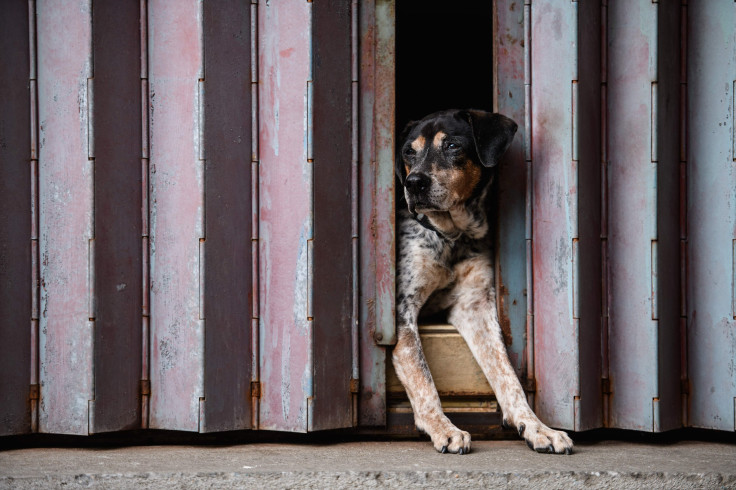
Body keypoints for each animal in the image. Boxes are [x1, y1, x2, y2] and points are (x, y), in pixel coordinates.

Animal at [392, 109, 576, 454]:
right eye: (409, 151)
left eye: (452, 145)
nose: (414, 183)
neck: (453, 236)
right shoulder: (402, 310)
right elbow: (422, 375)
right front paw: (444, 428)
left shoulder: (474, 306)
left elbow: (507, 374)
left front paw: (537, 427)